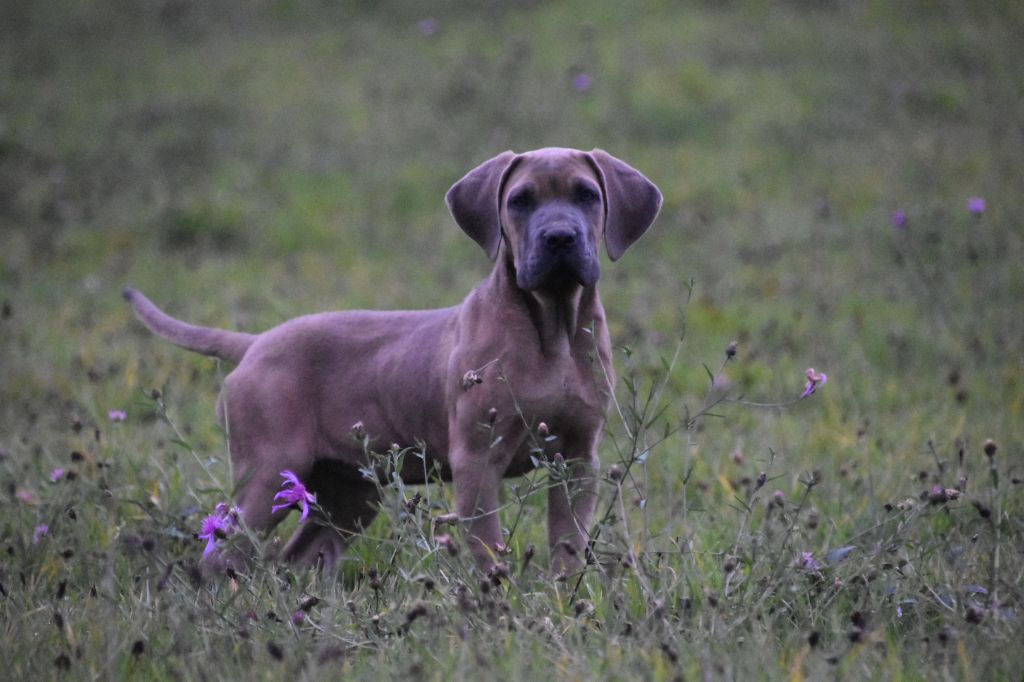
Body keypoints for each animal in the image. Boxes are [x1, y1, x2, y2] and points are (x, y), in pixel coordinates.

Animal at [125, 148, 663, 573]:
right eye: (520, 201)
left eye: (587, 195)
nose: (559, 238)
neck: (551, 327)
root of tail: (256, 342)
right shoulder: (478, 461)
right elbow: (488, 548)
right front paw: (500, 604)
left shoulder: (577, 460)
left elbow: (568, 543)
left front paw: (563, 598)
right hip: (267, 473)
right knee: (220, 555)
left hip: (348, 493)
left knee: (298, 557)